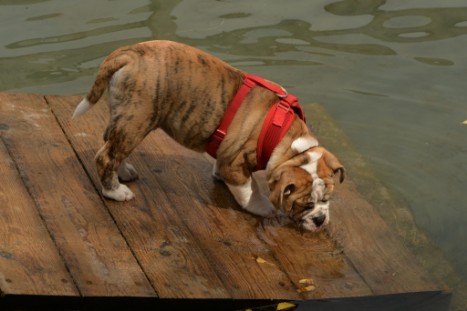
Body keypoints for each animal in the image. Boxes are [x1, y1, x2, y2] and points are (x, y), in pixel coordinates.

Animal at [72, 40, 344, 232]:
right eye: (305, 205)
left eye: (327, 200)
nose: (320, 219)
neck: (287, 141)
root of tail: (129, 53)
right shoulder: (234, 163)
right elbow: (250, 190)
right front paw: (263, 207)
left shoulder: (226, 154)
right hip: (138, 119)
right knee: (106, 156)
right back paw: (116, 192)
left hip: (125, 117)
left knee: (111, 142)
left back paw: (123, 171)